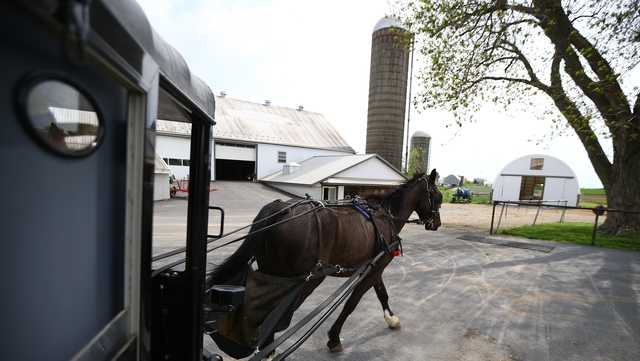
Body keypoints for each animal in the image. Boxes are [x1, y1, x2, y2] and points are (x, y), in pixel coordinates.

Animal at [209, 170, 440, 352]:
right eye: (437, 196)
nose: (436, 223)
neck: (385, 216)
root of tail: (280, 209)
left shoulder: (374, 267)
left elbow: (382, 294)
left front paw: (391, 319)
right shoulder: (374, 268)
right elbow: (352, 303)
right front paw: (334, 337)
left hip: (272, 271)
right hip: (302, 279)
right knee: (275, 311)